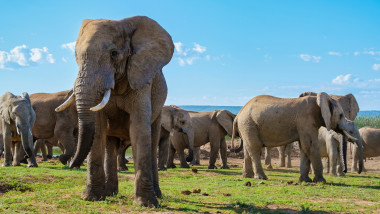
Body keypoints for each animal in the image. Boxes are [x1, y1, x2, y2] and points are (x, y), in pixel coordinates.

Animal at [55, 15, 175, 206]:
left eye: (114, 54)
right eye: (77, 57)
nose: (71, 163)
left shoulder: (141, 78)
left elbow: (140, 129)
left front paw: (146, 204)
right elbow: (98, 129)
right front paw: (91, 198)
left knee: (153, 138)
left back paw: (157, 195)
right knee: (110, 144)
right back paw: (110, 193)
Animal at [230, 92, 364, 182]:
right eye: (341, 115)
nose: (346, 171)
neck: (319, 100)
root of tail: (238, 114)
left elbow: (304, 147)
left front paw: (305, 181)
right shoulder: (306, 120)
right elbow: (310, 146)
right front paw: (321, 181)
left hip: (246, 126)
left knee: (248, 149)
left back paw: (247, 176)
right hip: (249, 123)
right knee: (254, 148)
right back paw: (261, 177)